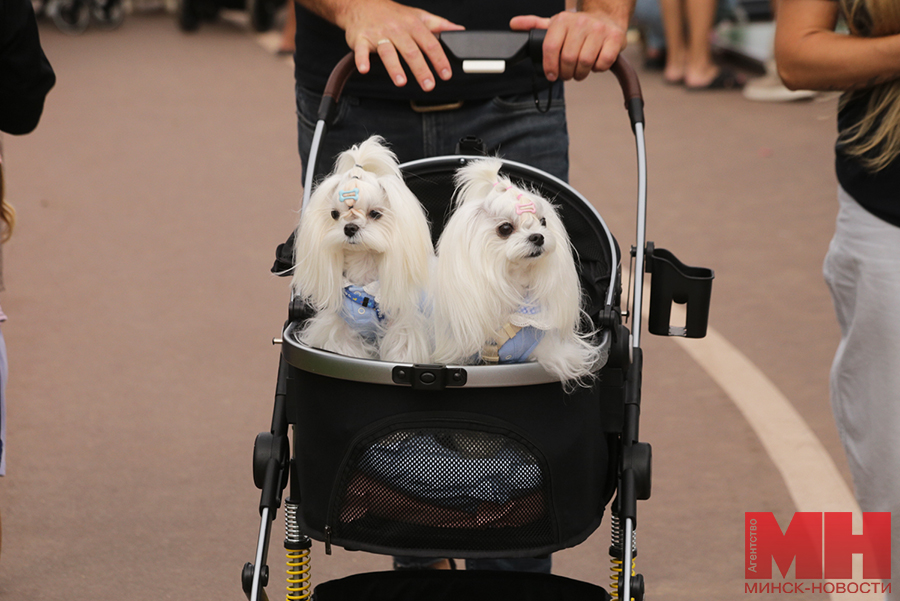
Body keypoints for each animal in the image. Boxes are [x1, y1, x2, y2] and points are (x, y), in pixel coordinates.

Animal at [294, 136, 434, 360]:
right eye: (334, 214)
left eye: (375, 213)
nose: (350, 228)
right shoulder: (341, 329)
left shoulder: (404, 326)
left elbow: (401, 353)